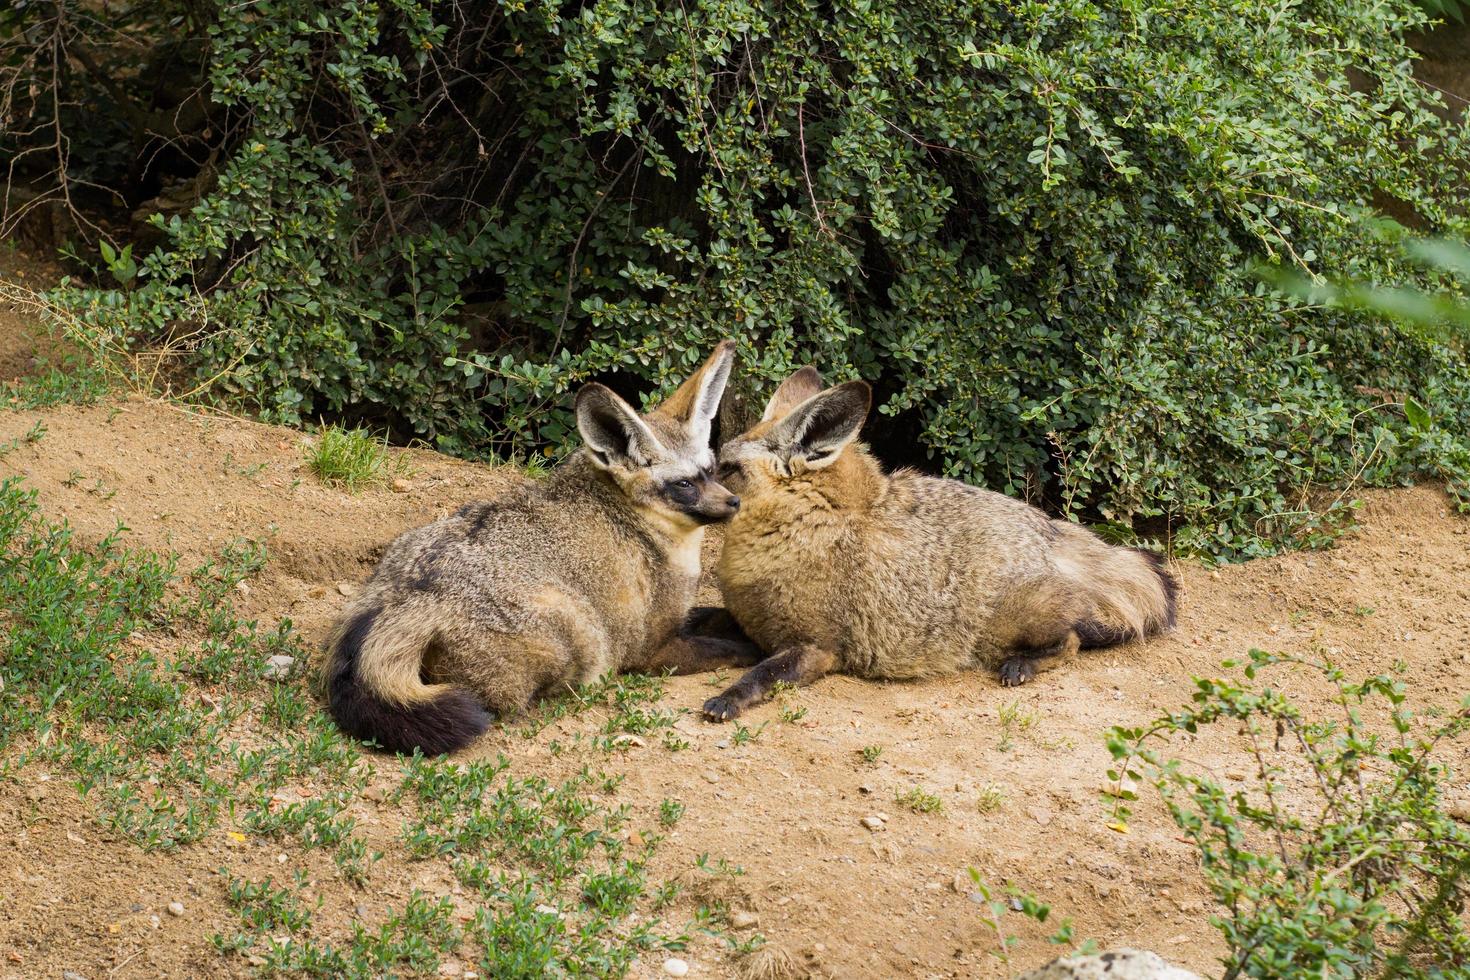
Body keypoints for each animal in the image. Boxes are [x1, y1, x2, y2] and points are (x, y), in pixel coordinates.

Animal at [320, 340, 758, 758]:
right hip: (581, 635)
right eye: (684, 485)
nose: (734, 503)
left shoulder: (681, 617)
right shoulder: (654, 649)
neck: (633, 522)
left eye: (710, 470)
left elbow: (721, 615)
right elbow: (727, 647)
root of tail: (411, 598)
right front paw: (757, 649)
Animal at [702, 367, 1181, 719]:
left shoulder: (817, 649)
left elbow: (764, 673)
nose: (688, 487)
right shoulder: (747, 619)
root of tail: (1050, 531)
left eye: (725, 467)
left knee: (1073, 640)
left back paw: (1022, 664)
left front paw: (728, 698)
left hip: (1013, 620)